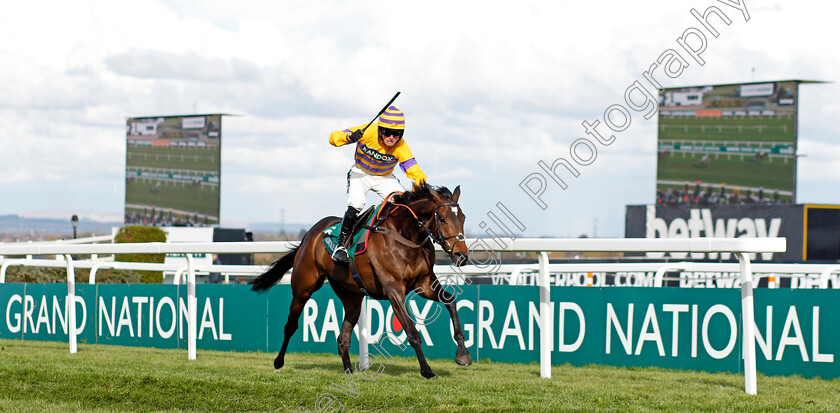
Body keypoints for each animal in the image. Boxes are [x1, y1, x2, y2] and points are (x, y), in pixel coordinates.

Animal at [249, 183, 472, 376]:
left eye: (463, 217)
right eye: (441, 218)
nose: (461, 255)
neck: (405, 236)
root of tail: (309, 235)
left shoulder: (424, 283)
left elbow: (450, 301)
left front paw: (462, 355)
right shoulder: (394, 289)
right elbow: (412, 331)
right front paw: (427, 371)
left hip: (352, 296)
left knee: (343, 337)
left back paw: (349, 370)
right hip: (303, 287)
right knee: (291, 325)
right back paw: (278, 362)